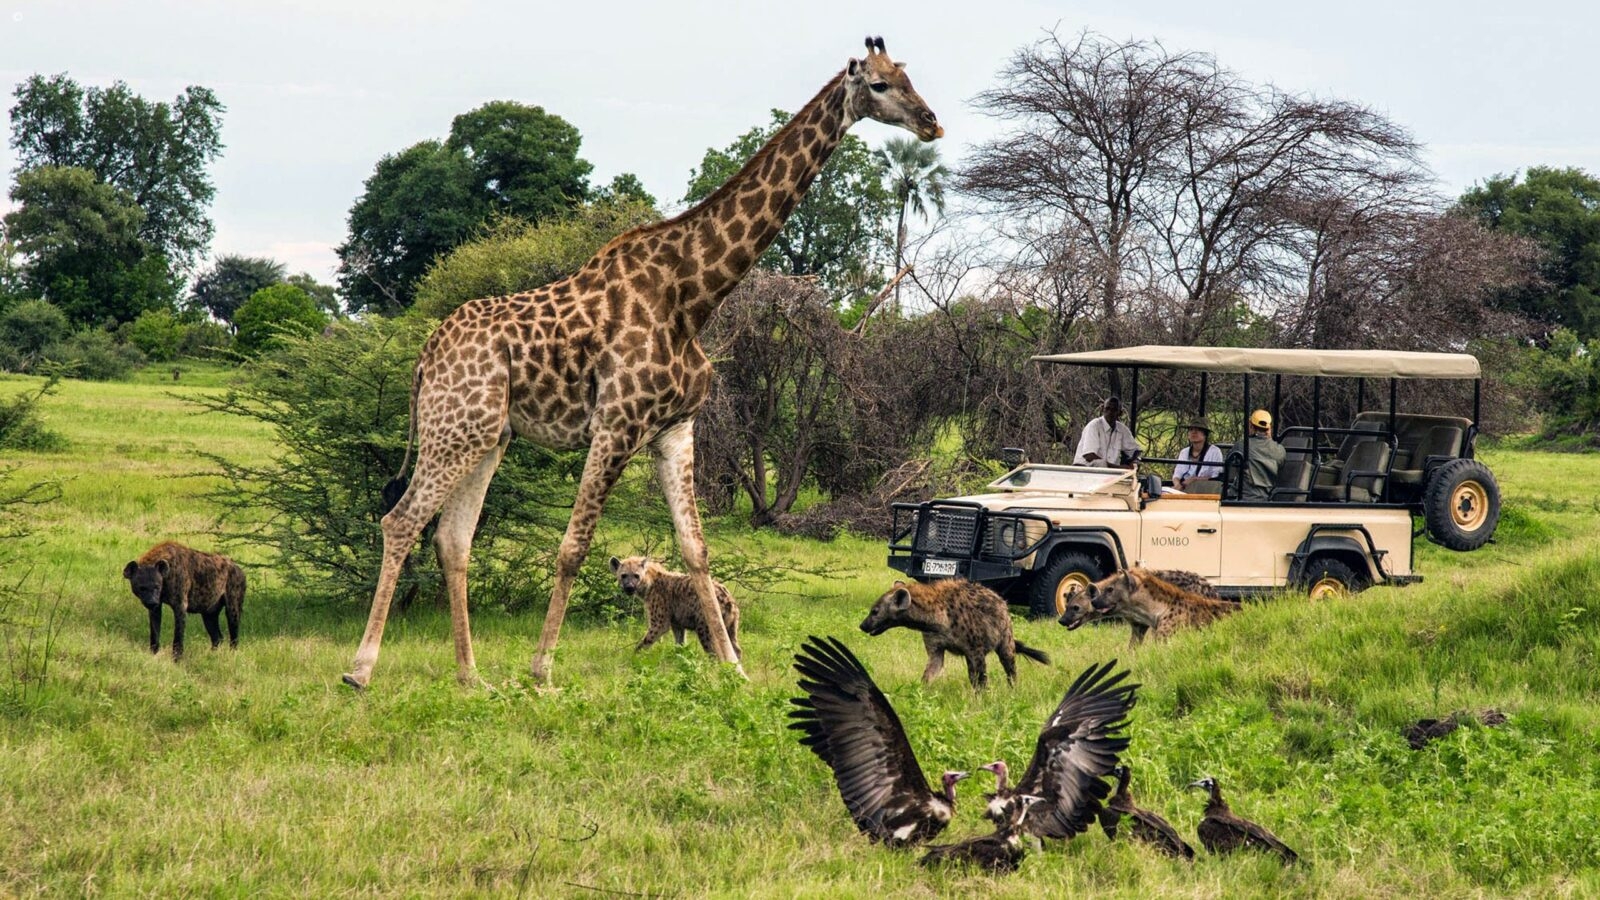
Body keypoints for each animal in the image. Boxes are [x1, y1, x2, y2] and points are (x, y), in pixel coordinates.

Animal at [342, 37, 942, 690]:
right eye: (879, 85)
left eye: (907, 76)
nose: (931, 122)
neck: (692, 296)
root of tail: (427, 355)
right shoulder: (615, 424)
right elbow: (573, 547)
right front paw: (542, 669)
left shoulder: (674, 429)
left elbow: (696, 548)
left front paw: (734, 668)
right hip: (455, 428)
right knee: (401, 521)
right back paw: (361, 670)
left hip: (487, 435)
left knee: (452, 539)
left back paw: (471, 677)